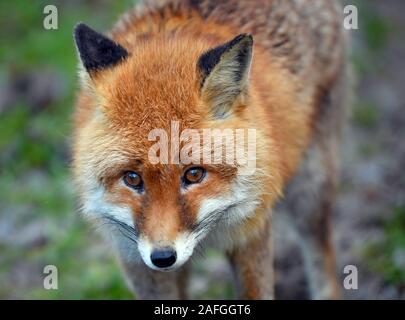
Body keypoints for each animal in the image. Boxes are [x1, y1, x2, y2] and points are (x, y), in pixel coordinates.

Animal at [71, 0, 348, 300]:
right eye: (132, 178)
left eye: (194, 174)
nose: (163, 257)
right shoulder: (135, 259)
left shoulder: (252, 229)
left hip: (311, 189)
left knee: (321, 251)